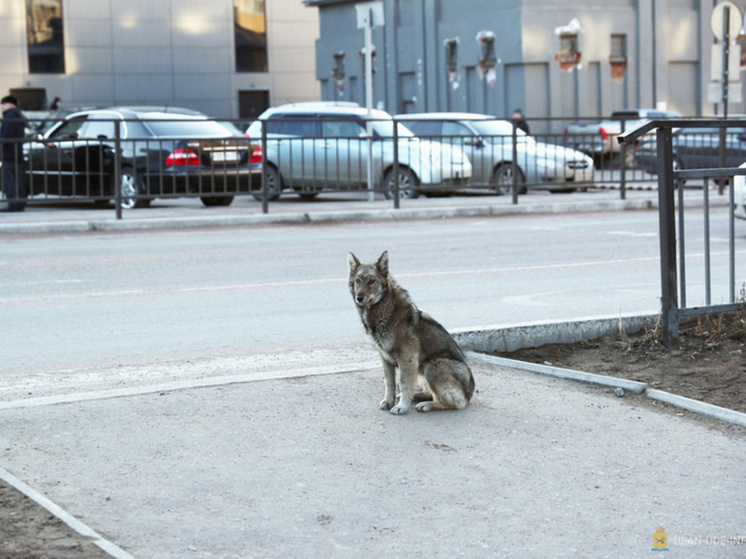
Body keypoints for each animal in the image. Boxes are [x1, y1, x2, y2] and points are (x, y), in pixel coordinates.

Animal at [348, 252, 474, 414]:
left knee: (455, 402)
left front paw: (402, 406)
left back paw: (426, 405)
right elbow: (389, 383)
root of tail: (470, 394)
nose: (359, 297)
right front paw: (389, 401)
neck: (385, 310)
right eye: (357, 281)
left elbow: (403, 383)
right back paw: (417, 397)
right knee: (430, 392)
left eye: (371, 281)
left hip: (433, 366)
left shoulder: (407, 359)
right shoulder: (385, 358)